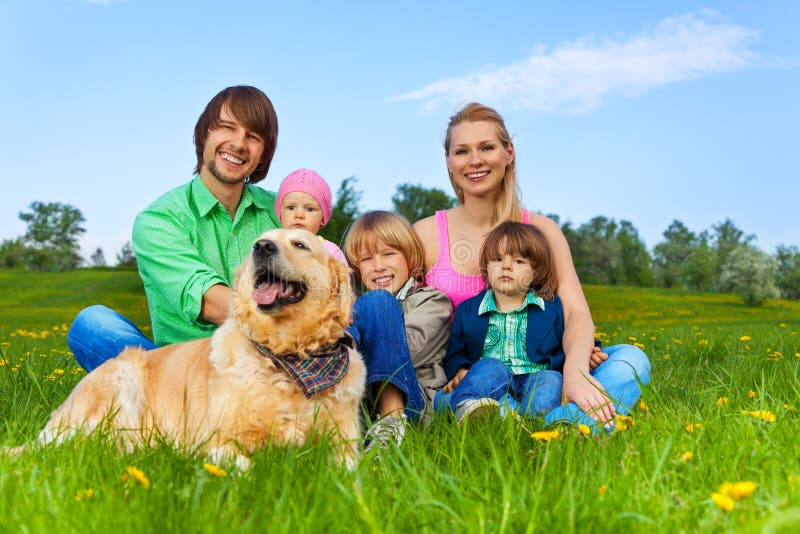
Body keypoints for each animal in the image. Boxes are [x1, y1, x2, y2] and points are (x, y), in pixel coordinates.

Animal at [6, 228, 368, 472]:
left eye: (300, 244)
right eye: (261, 240)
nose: (261, 247)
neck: (286, 357)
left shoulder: (345, 443)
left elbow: (350, 471)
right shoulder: (214, 440)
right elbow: (247, 466)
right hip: (119, 381)